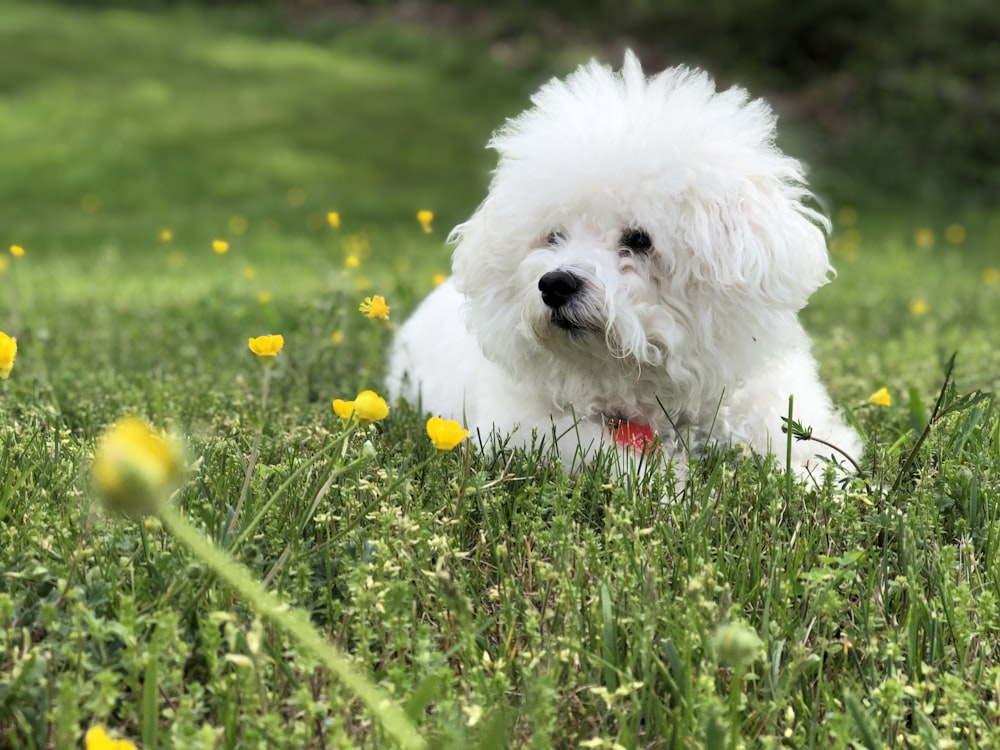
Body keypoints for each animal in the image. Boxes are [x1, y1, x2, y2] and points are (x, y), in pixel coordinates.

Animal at [386, 51, 864, 482]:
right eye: (553, 236)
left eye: (638, 240)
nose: (554, 284)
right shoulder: (530, 428)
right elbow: (607, 459)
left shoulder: (768, 407)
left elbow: (814, 456)